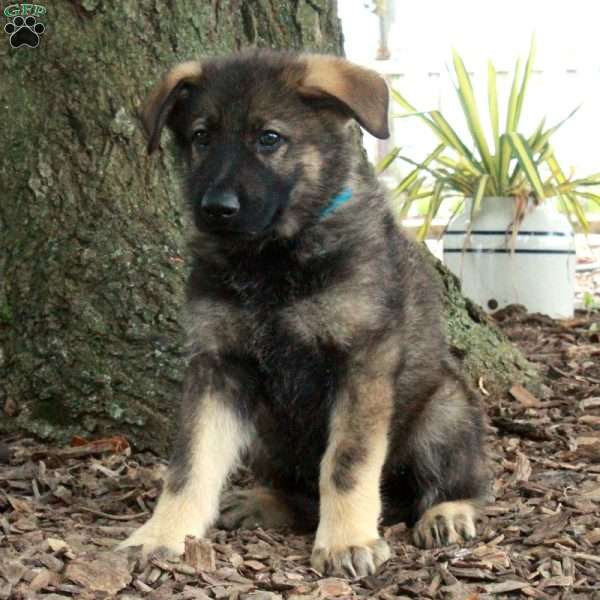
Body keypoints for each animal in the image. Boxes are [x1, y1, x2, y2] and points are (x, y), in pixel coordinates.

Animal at [119, 50, 490, 576]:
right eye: (201, 137)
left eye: (269, 138)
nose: (215, 208)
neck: (272, 258)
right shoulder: (219, 365)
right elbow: (190, 463)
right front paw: (162, 533)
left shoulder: (361, 362)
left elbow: (346, 463)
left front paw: (346, 541)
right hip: (267, 435)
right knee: (300, 495)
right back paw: (264, 502)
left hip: (445, 411)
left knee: (467, 483)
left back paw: (447, 512)